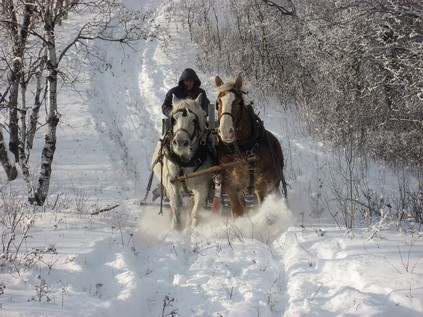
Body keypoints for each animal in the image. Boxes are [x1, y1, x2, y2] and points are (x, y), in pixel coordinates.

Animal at [151, 92, 214, 228]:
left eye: (194, 120)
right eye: (174, 119)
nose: (180, 143)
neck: (184, 161)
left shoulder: (202, 187)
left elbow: (196, 210)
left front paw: (191, 228)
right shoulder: (171, 181)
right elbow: (176, 206)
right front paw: (176, 229)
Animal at [215, 74, 288, 217]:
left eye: (239, 103)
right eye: (217, 103)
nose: (226, 131)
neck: (242, 149)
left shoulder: (270, 174)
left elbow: (259, 188)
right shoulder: (229, 184)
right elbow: (237, 209)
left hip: (276, 183)